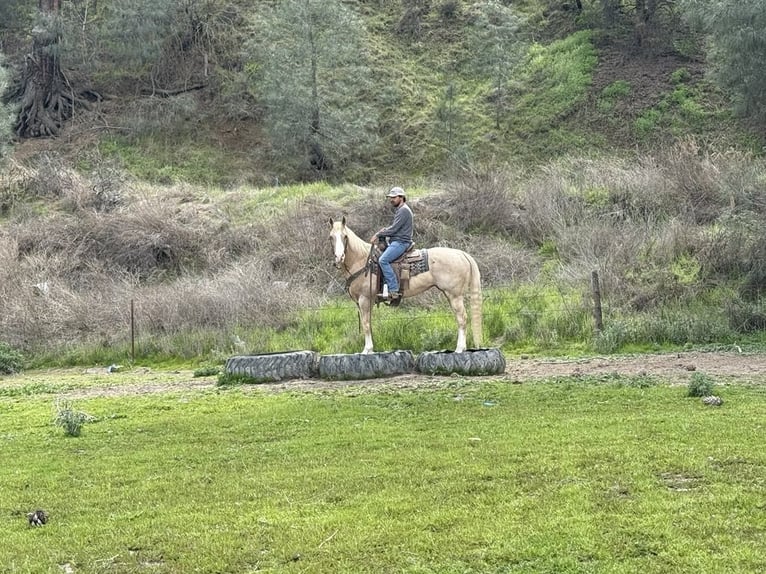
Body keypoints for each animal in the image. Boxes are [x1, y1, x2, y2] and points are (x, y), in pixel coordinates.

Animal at [329, 217, 483, 354]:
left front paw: (367, 350)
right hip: (451, 295)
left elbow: (366, 324)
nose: (339, 257)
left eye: (345, 236)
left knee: (462, 319)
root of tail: (461, 254)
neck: (362, 261)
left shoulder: (364, 299)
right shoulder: (365, 301)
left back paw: (459, 349)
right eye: (331, 237)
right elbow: (368, 323)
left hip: (455, 295)